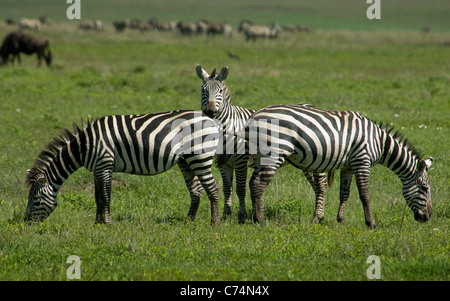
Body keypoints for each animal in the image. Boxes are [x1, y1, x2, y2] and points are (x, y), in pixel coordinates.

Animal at [25, 109, 221, 223]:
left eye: (36, 199)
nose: (25, 221)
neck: (85, 146)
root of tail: (209, 119)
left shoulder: (105, 164)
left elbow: (106, 195)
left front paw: (107, 222)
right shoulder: (97, 168)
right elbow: (97, 195)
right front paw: (97, 222)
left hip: (200, 157)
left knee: (213, 188)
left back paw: (215, 223)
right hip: (186, 161)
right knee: (197, 190)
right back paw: (189, 221)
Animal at [195, 63, 328, 223]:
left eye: (220, 91)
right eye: (203, 90)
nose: (210, 111)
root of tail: (311, 105)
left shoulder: (241, 161)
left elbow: (240, 189)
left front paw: (242, 216)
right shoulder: (224, 163)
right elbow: (227, 189)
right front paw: (226, 216)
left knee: (321, 184)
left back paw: (318, 216)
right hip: (306, 162)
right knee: (316, 186)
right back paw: (319, 215)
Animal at [246, 103, 432, 227]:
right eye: (425, 188)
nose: (429, 217)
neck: (379, 143)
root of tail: (254, 116)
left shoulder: (348, 167)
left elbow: (344, 193)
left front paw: (340, 219)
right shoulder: (362, 161)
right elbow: (365, 194)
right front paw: (371, 223)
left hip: (261, 157)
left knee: (252, 183)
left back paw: (255, 218)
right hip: (274, 152)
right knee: (259, 184)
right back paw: (261, 220)